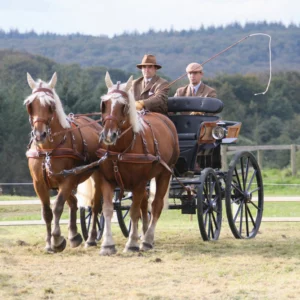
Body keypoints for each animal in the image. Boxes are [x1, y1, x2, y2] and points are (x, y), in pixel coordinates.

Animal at [24, 73, 103, 253]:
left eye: (51, 105)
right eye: (30, 105)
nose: (40, 135)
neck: (47, 150)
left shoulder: (67, 179)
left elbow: (57, 207)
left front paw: (56, 239)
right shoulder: (39, 183)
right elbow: (47, 212)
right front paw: (49, 244)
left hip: (96, 175)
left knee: (95, 206)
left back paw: (91, 238)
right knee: (74, 203)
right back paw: (74, 236)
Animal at [79, 72, 178, 255]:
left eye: (123, 106)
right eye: (104, 104)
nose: (108, 135)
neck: (121, 150)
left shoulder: (139, 182)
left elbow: (133, 212)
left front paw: (132, 243)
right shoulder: (107, 180)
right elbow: (107, 210)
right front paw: (107, 245)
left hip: (165, 173)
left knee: (156, 205)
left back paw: (147, 240)